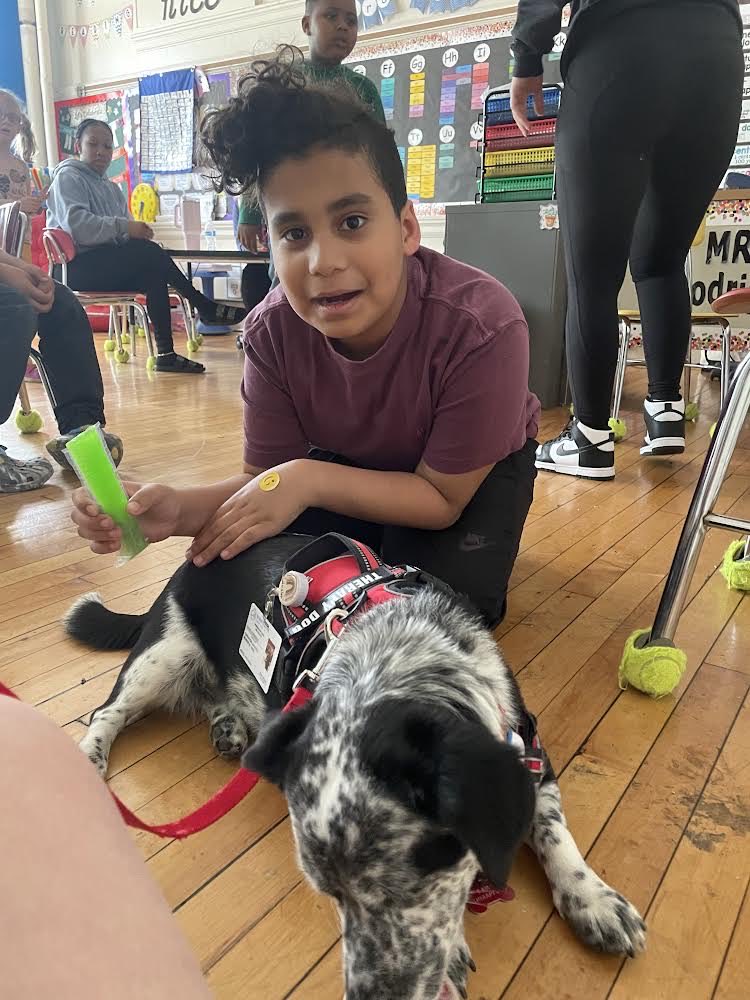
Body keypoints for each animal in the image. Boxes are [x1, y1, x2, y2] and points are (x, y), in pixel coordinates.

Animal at [67, 536, 648, 996]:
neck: (401, 662)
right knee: (107, 710)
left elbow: (554, 834)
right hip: (163, 654)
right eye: (334, 899)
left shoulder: (531, 756)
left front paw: (593, 899)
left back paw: (228, 726)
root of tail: (193, 556)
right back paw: (89, 756)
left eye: (412, 888)